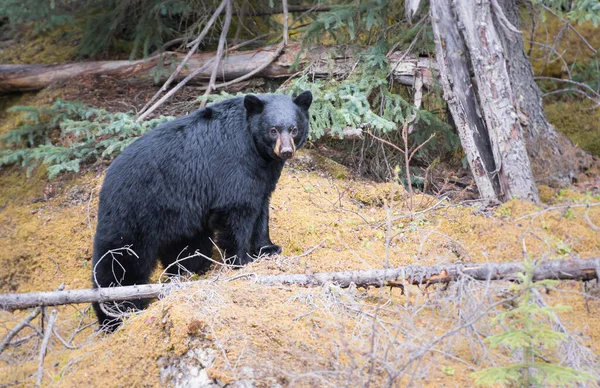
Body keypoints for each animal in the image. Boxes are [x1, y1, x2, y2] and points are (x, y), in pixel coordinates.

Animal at [92, 91, 314, 330]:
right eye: (273, 130)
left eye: (293, 128)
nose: (286, 151)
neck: (255, 150)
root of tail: (106, 179)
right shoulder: (235, 166)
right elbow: (237, 211)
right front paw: (241, 260)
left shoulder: (263, 174)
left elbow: (261, 208)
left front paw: (268, 248)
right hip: (134, 211)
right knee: (119, 261)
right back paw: (114, 314)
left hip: (176, 218)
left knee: (185, 249)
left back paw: (190, 270)